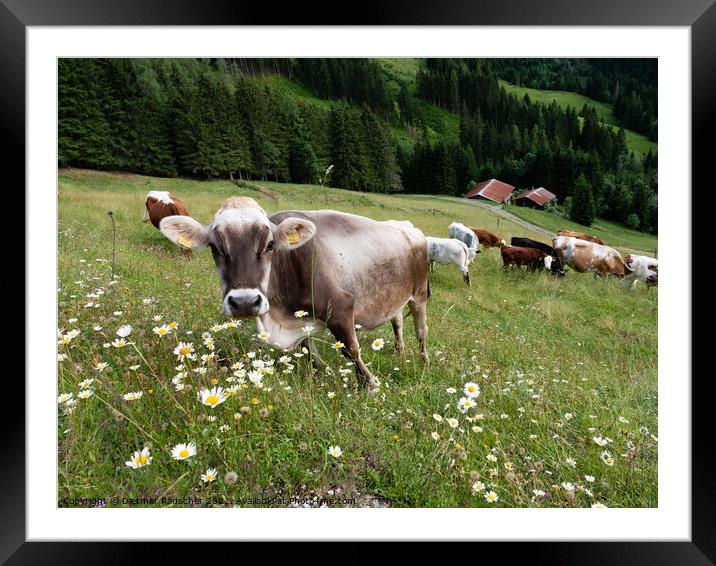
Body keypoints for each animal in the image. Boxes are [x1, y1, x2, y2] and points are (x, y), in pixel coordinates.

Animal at [159, 197, 428, 392]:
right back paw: (400, 349)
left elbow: (351, 350)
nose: (244, 301)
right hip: (395, 297)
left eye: (269, 245)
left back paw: (424, 359)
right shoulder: (301, 317)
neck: (280, 318)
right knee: (397, 321)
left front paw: (369, 385)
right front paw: (323, 372)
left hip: (420, 294)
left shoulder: (341, 308)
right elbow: (310, 351)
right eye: (214, 248)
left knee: (420, 330)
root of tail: (407, 226)